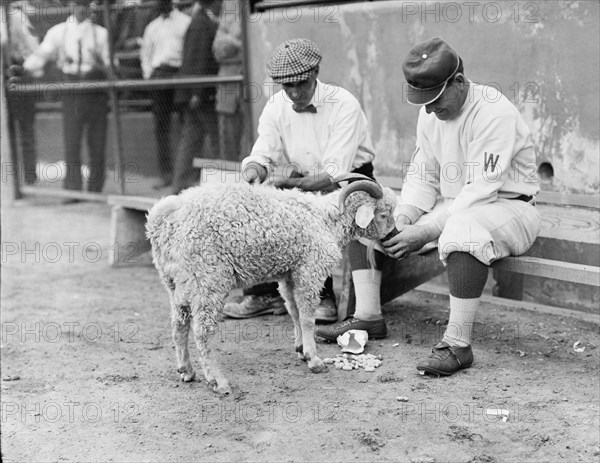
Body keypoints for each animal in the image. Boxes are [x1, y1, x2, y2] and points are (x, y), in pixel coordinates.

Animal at [145, 174, 398, 396]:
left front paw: (301, 350)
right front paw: (314, 359)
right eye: (384, 214)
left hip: (176, 282)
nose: (394, 235)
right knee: (202, 331)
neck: (326, 220)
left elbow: (294, 312)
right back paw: (218, 381)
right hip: (207, 279)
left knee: (179, 324)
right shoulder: (310, 270)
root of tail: (163, 221)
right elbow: (307, 317)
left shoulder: (289, 274)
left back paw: (186, 370)